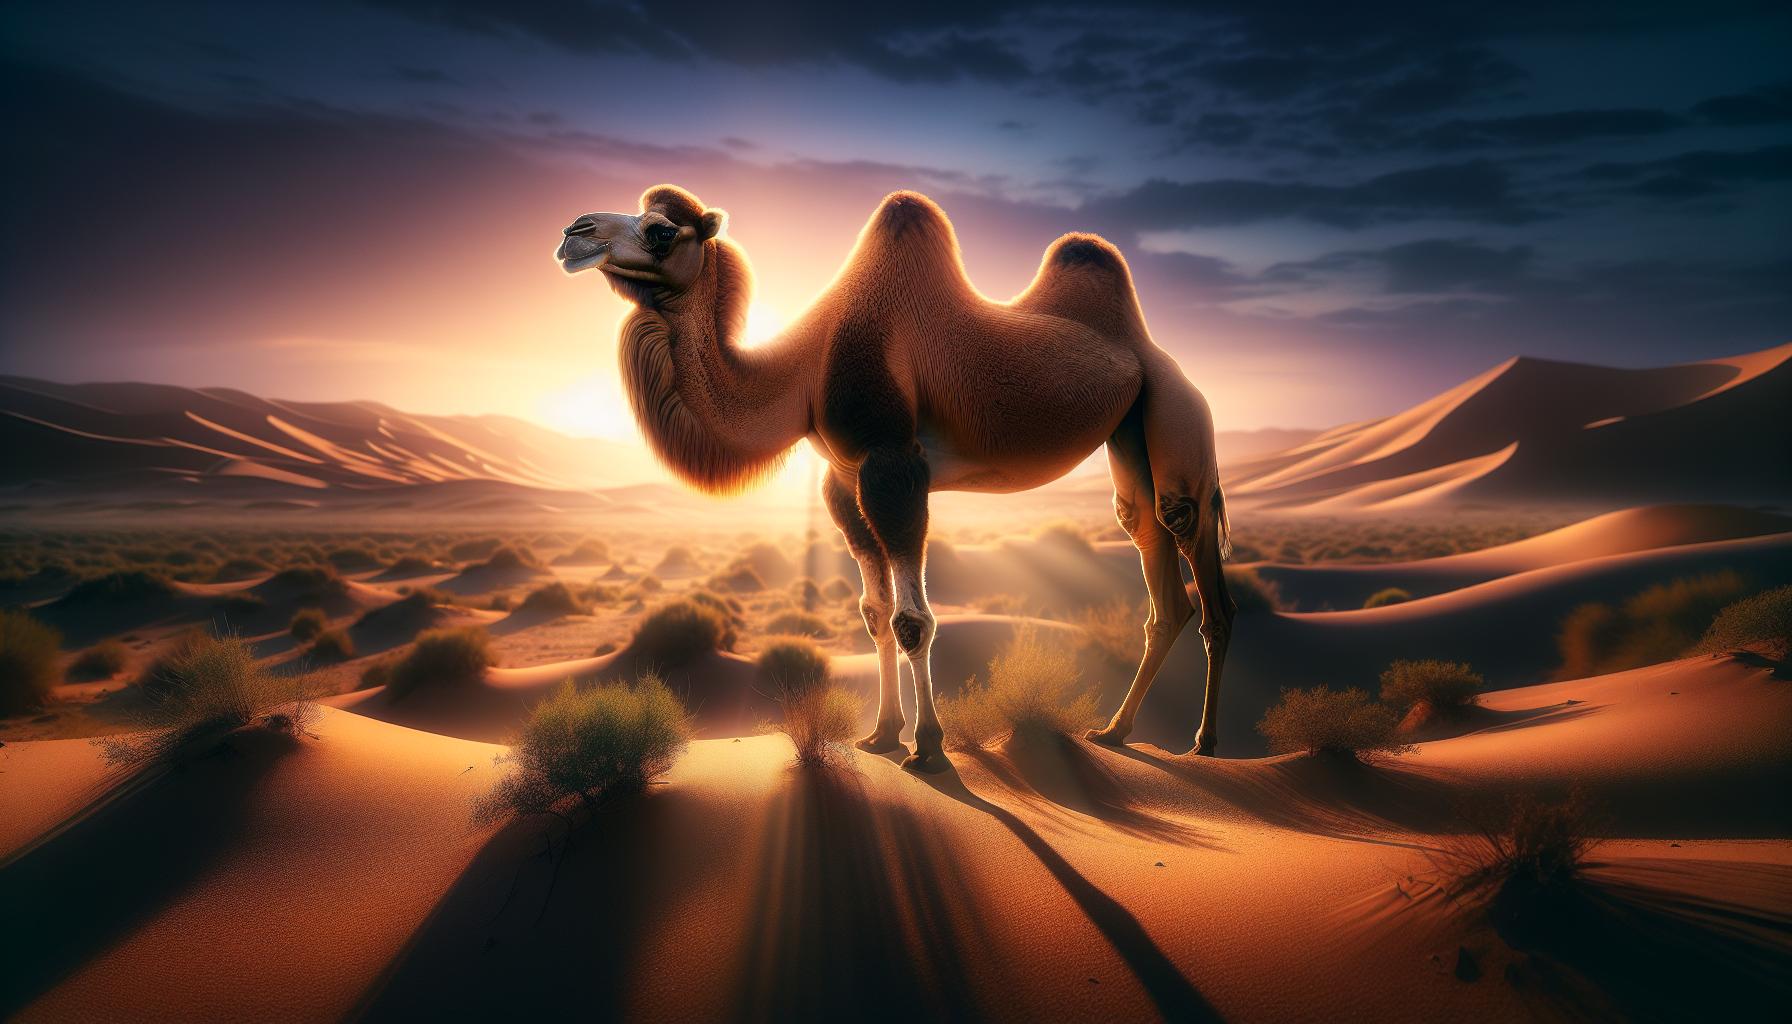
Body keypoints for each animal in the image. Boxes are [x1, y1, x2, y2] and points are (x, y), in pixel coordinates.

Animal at [557, 185, 1235, 771]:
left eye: (661, 229)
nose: (573, 232)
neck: (805, 369)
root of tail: (1153, 354)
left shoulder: (893, 465)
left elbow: (914, 620)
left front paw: (929, 749)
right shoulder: (842, 480)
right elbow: (874, 613)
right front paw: (881, 735)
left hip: (1177, 412)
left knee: (1193, 548)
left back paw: (1204, 743)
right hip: (1128, 435)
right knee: (1155, 566)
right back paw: (1115, 732)